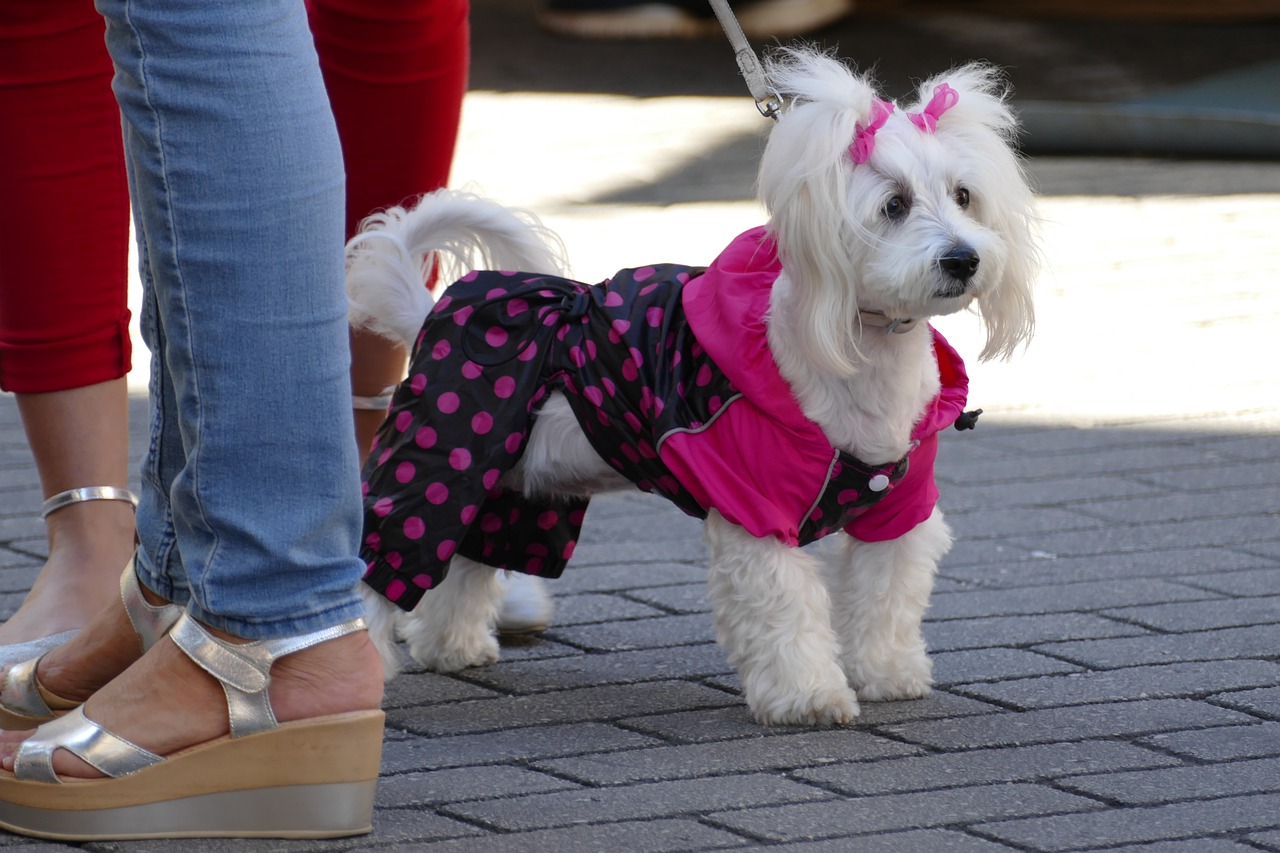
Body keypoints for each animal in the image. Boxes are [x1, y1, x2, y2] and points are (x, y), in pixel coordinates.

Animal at [345, 48, 1034, 722]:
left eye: (963, 195)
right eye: (893, 205)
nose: (963, 258)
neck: (860, 357)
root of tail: (429, 313)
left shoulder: (900, 508)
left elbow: (885, 597)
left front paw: (888, 675)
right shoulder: (754, 510)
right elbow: (785, 611)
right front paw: (810, 697)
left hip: (510, 489)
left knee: (466, 563)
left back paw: (452, 646)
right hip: (439, 456)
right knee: (381, 559)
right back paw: (358, 674)